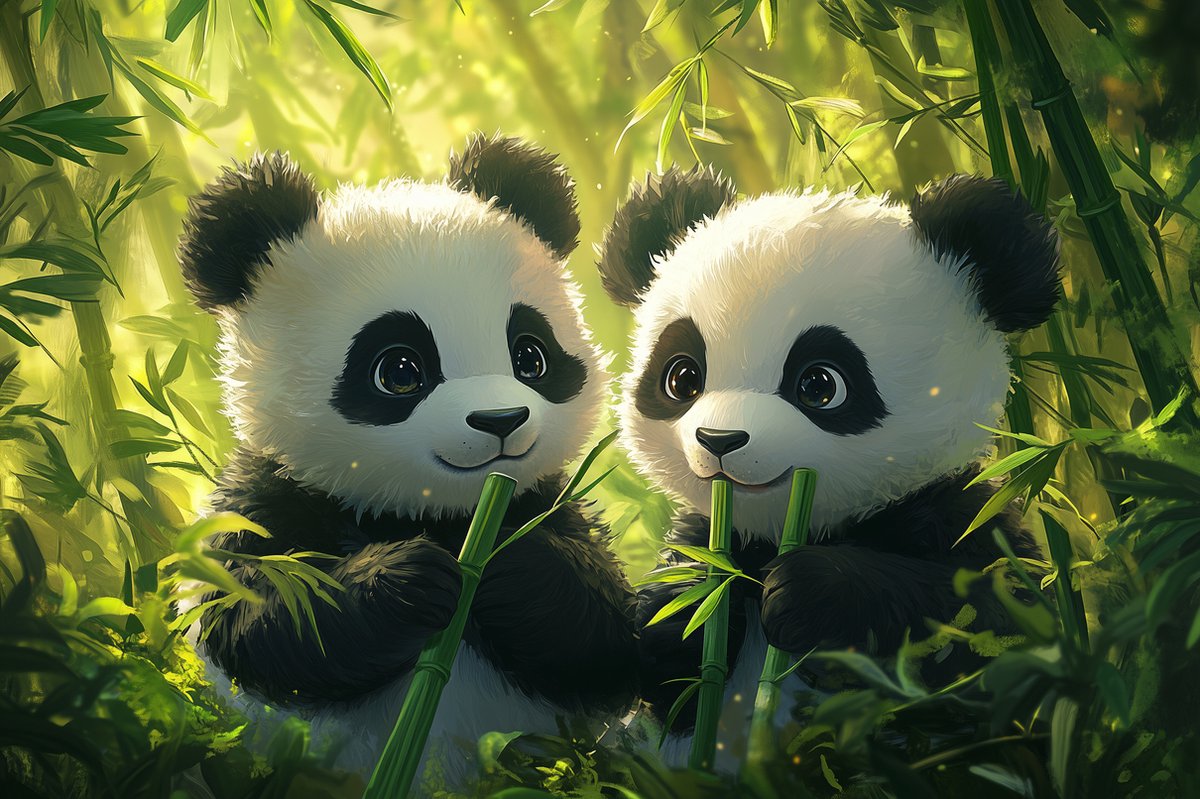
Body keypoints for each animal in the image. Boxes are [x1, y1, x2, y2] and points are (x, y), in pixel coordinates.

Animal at [180, 135, 638, 788]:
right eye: (399, 370)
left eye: (530, 357)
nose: (501, 421)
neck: (440, 515)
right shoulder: (274, 493)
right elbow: (260, 614)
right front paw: (408, 578)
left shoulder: (543, 501)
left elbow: (615, 642)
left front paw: (512, 568)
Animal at [595, 167, 1059, 757]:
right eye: (682, 377)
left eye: (820, 384)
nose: (719, 439)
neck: (788, 532)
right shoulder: (712, 535)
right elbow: (664, 653)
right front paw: (686, 605)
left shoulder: (958, 516)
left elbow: (997, 625)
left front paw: (807, 593)